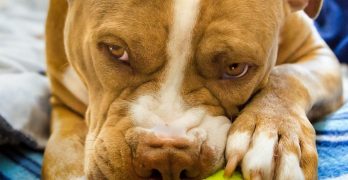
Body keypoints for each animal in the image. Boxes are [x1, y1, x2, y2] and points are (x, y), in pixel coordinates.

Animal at [41, 0, 342, 179]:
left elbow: (289, 75)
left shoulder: (319, 54)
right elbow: (60, 156)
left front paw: (273, 133)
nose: (168, 158)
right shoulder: (62, 104)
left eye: (236, 67)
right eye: (116, 51)